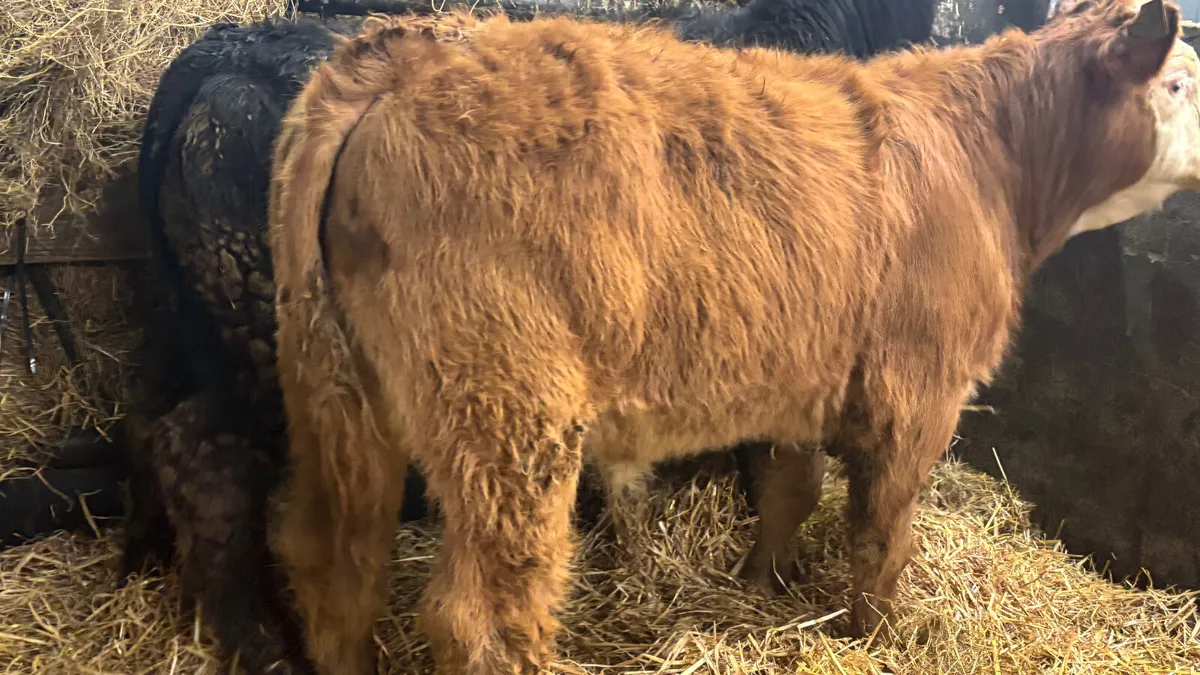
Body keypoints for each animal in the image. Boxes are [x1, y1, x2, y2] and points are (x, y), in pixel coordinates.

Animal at [266, 1, 1200, 673]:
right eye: (1181, 84)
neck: (990, 158)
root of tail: (413, 57)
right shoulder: (918, 391)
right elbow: (882, 532)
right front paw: (877, 635)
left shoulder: (802, 377)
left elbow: (791, 491)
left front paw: (762, 585)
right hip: (506, 415)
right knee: (481, 616)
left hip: (337, 399)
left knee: (334, 563)